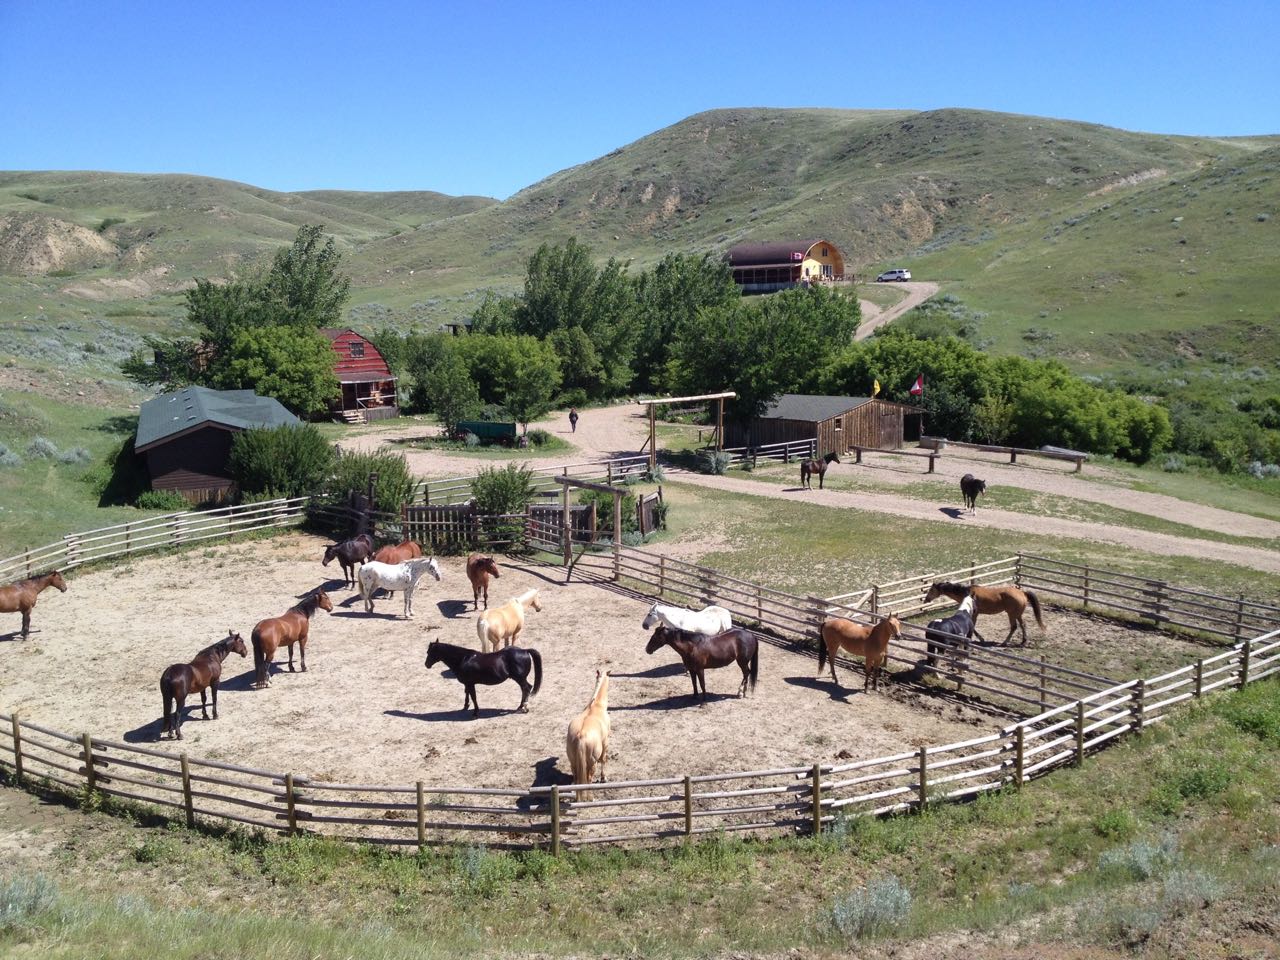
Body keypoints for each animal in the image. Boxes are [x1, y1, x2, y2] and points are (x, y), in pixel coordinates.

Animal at [566, 670, 611, 801]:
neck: (596, 706)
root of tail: (581, 735)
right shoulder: (605, 744)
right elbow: (604, 760)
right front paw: (603, 778)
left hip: (573, 762)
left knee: (577, 779)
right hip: (592, 763)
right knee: (589, 779)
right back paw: (591, 798)